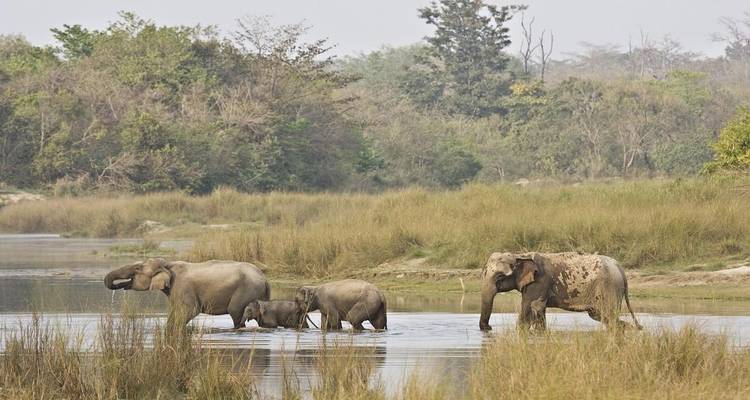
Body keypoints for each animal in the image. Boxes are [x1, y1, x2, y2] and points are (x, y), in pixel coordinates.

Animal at [104, 258, 270, 328]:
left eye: (137, 268)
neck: (167, 264)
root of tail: (264, 279)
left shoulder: (183, 286)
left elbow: (190, 310)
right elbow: (175, 311)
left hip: (246, 290)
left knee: (235, 311)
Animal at [479, 252, 641, 331]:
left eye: (500, 277)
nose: (488, 327)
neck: (520, 255)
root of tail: (620, 268)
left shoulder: (539, 282)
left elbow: (529, 308)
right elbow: (539, 310)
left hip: (610, 287)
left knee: (607, 315)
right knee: (601, 316)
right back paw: (633, 329)